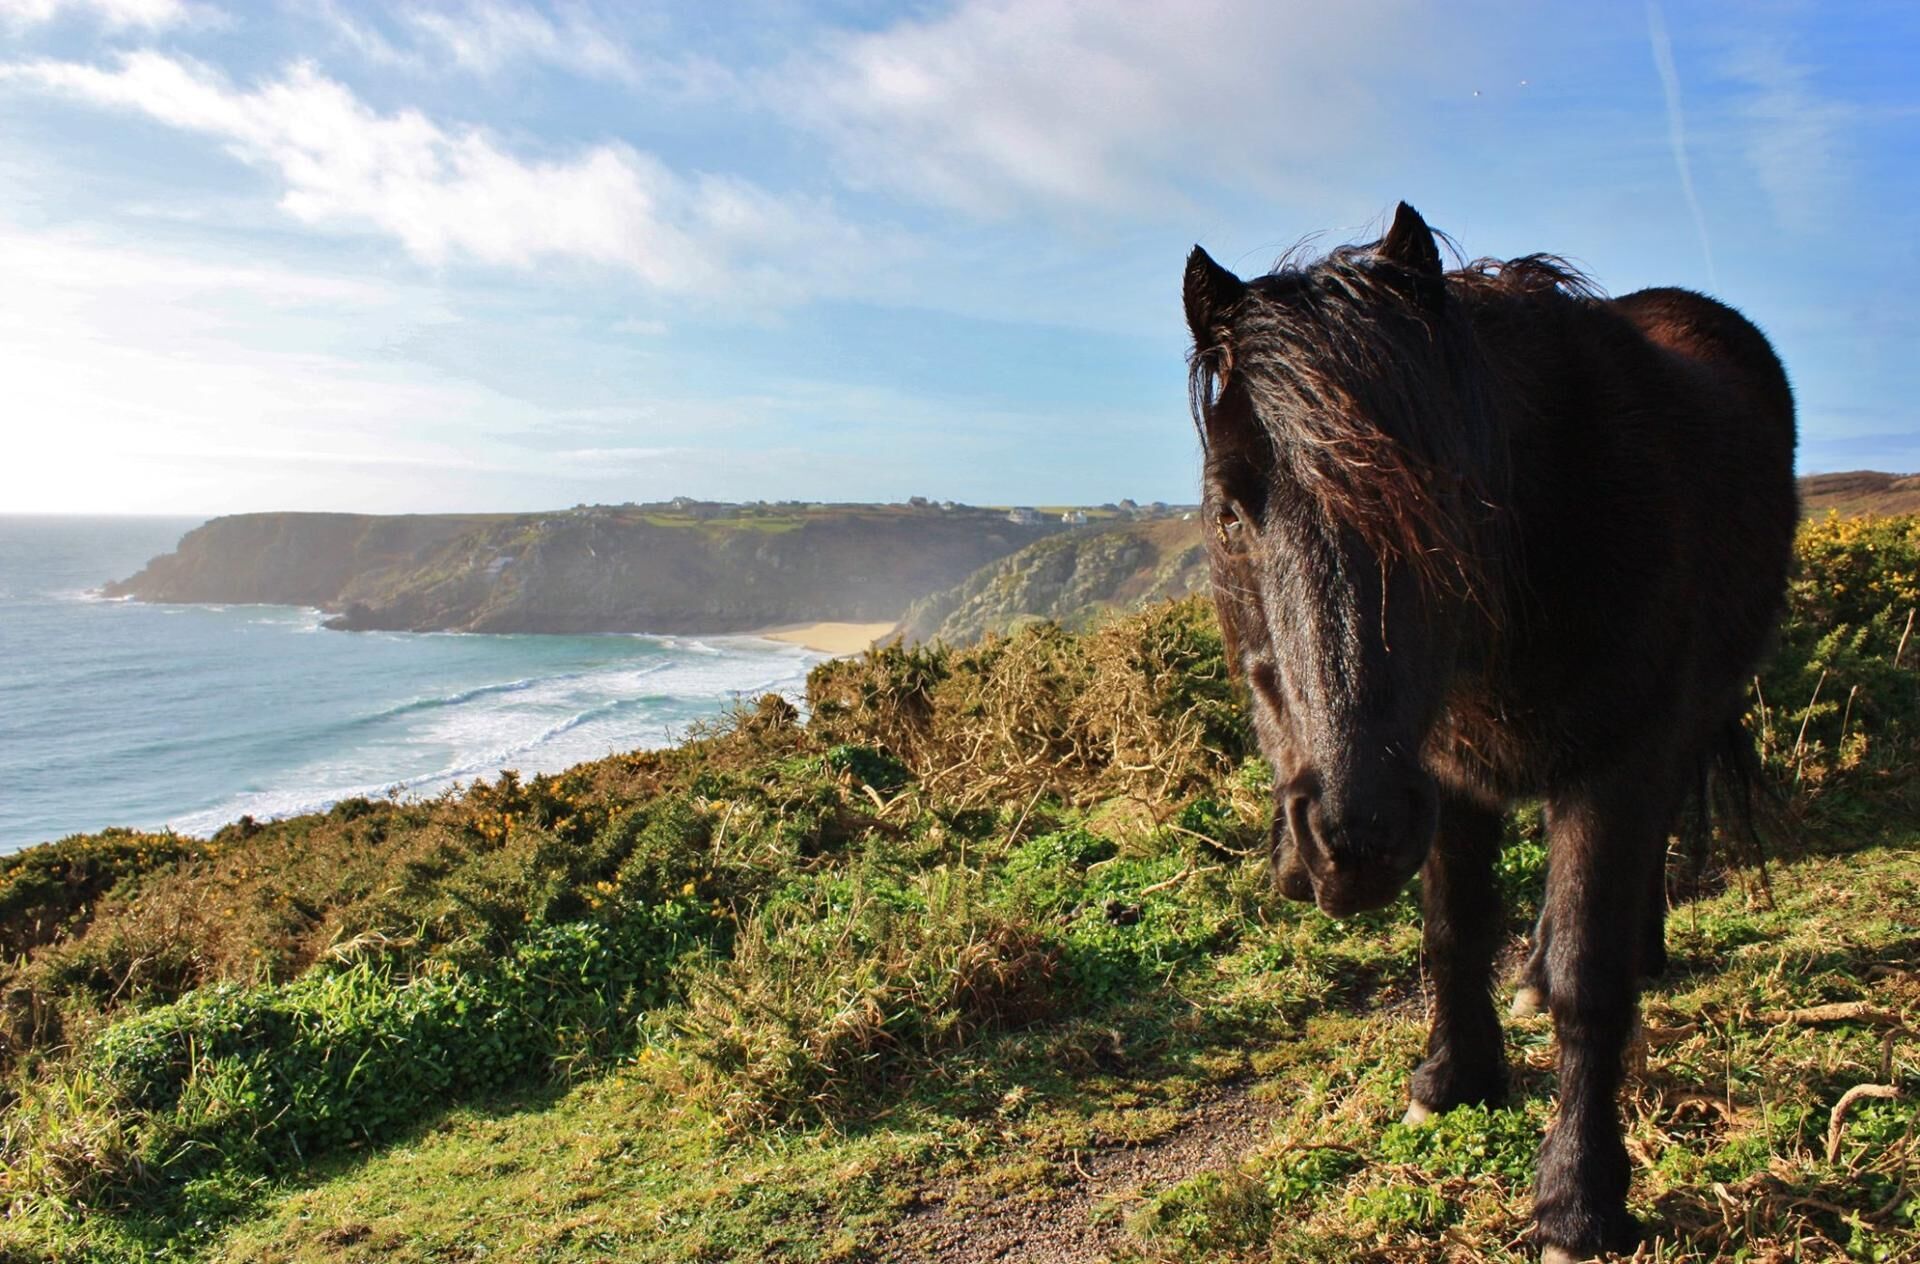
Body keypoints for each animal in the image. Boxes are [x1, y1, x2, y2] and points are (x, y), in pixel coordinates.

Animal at [1182, 203, 1796, 1260]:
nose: (1348, 844)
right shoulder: (1448, 776)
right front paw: (1453, 1078)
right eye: (1228, 514)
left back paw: (1640, 951)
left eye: (1441, 496)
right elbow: (1453, 931)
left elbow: (1591, 980)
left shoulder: (1615, 764)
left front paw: (1578, 1199)